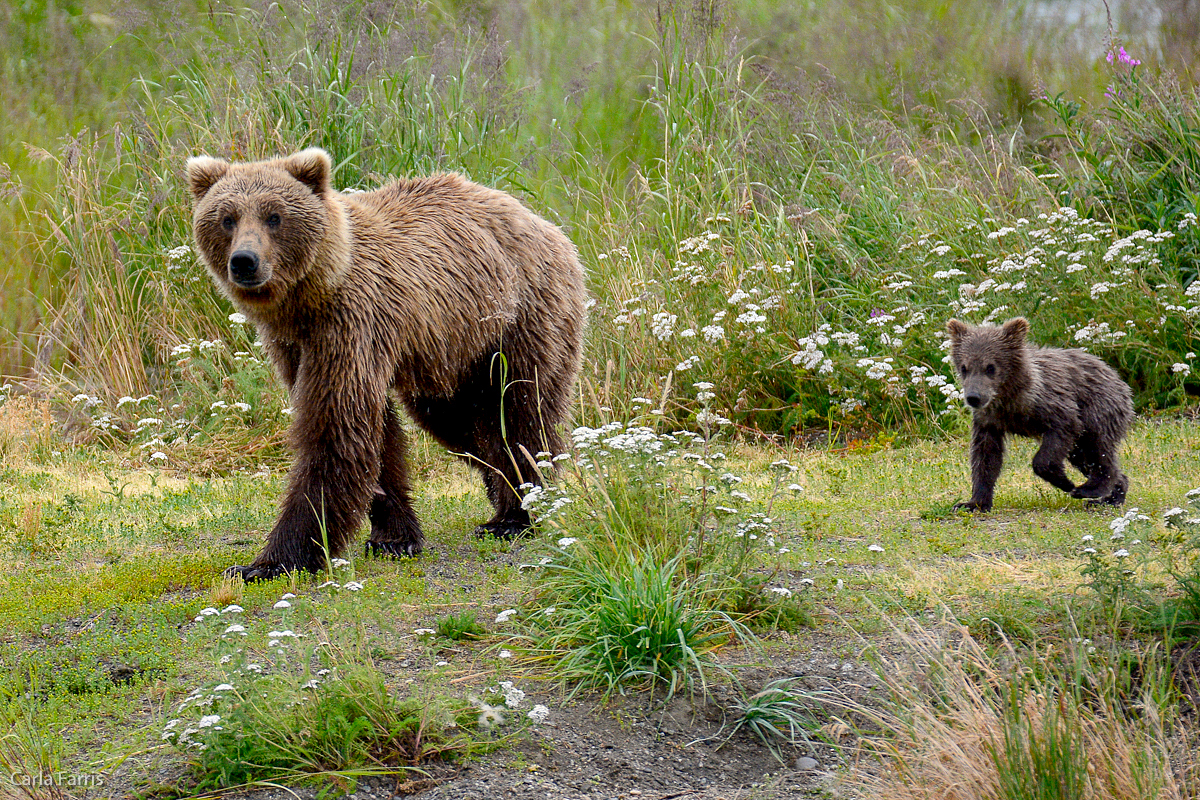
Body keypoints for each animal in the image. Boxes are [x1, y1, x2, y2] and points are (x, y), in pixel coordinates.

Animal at [183, 146, 590, 578]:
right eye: (227, 218)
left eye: (274, 216)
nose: (244, 261)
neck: (311, 298)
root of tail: (544, 222)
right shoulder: (296, 347)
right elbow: (377, 438)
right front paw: (394, 537)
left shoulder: (351, 325)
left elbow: (335, 431)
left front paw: (271, 561)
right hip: (451, 348)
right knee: (459, 420)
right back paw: (498, 487)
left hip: (519, 316)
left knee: (520, 408)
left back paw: (515, 514)